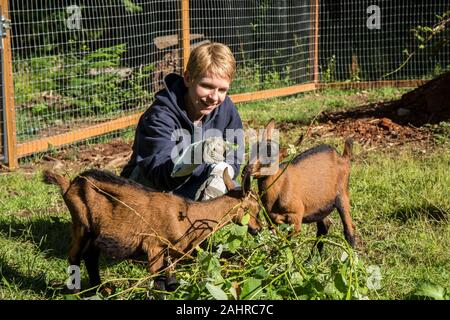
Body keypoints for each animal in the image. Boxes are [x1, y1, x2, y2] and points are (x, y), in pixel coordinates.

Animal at [43, 169, 260, 292]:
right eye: (256, 208)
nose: (259, 229)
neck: (188, 215)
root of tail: (69, 184)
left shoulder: (171, 252)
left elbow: (170, 281)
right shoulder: (154, 247)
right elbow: (158, 282)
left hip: (96, 233)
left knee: (90, 256)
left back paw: (100, 290)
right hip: (81, 224)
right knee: (74, 255)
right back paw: (77, 291)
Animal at [246, 120, 356, 250]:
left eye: (271, 158)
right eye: (253, 149)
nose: (247, 169)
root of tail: (343, 157)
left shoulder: (296, 218)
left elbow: (289, 246)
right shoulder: (271, 220)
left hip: (342, 194)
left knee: (349, 229)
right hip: (320, 205)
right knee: (324, 227)